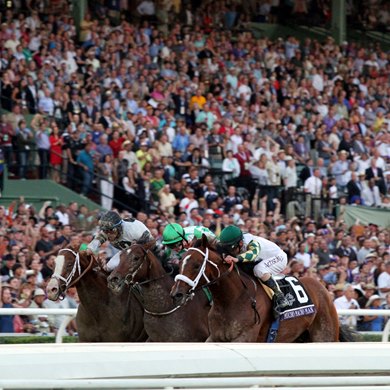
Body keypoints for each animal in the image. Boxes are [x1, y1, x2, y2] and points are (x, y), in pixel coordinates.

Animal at [171, 235, 342, 342]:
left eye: (196, 265)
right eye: (180, 262)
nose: (176, 294)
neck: (232, 299)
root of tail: (322, 287)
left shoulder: (245, 337)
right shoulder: (214, 337)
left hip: (325, 335)